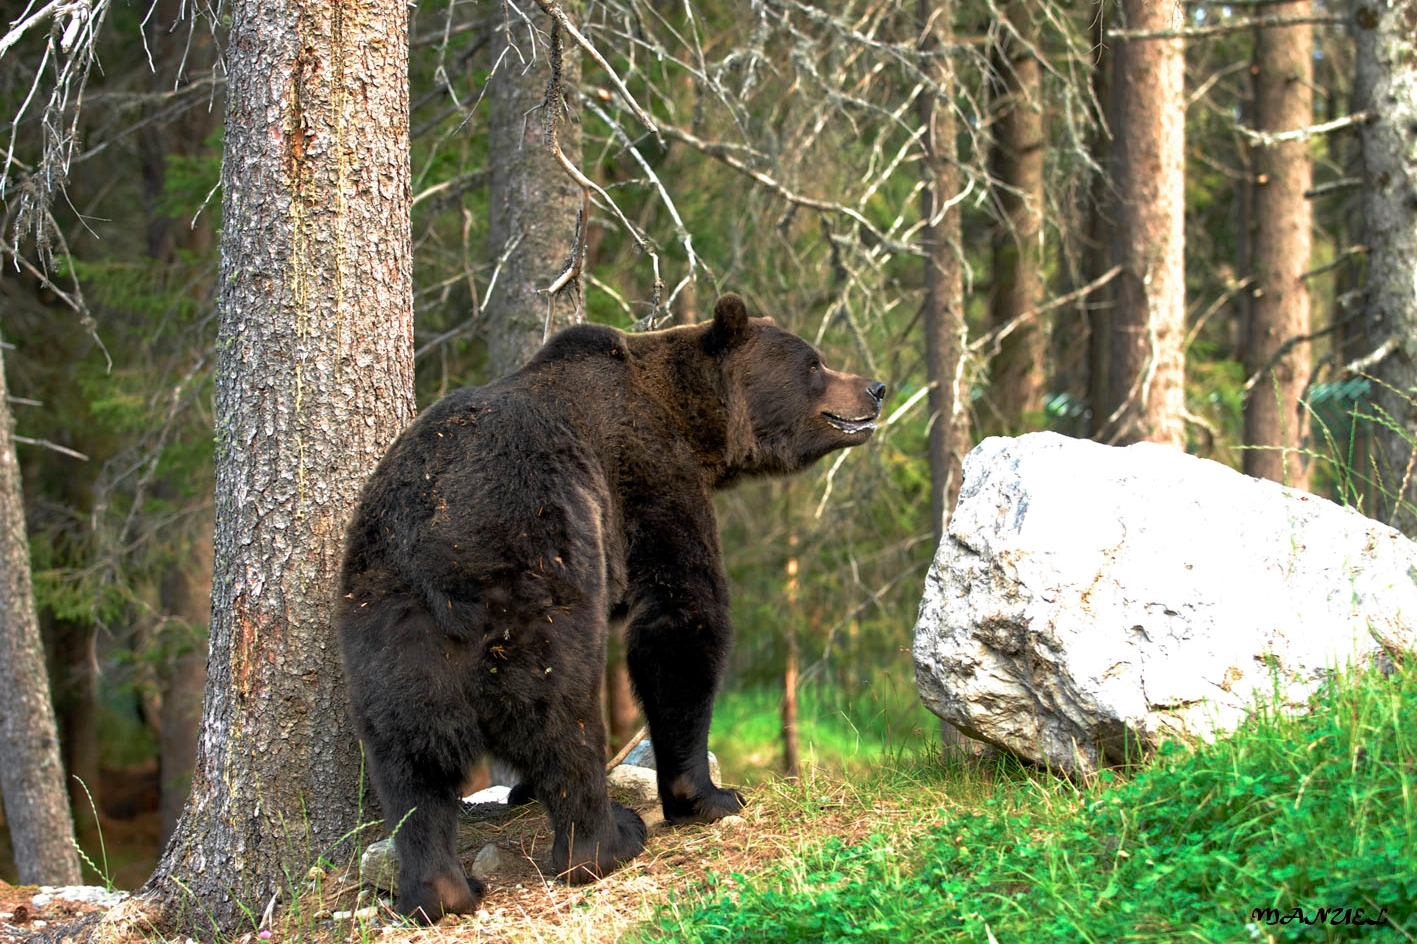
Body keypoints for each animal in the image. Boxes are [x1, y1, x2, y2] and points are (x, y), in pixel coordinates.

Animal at [335, 291, 878, 918]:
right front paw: (709, 795)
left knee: (407, 761)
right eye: (814, 363)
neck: (694, 424)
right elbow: (681, 617)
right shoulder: (649, 474)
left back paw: (440, 889)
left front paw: (522, 792)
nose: (875, 387)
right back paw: (606, 841)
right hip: (535, 570)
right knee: (562, 710)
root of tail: (433, 539)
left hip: (385, 626)